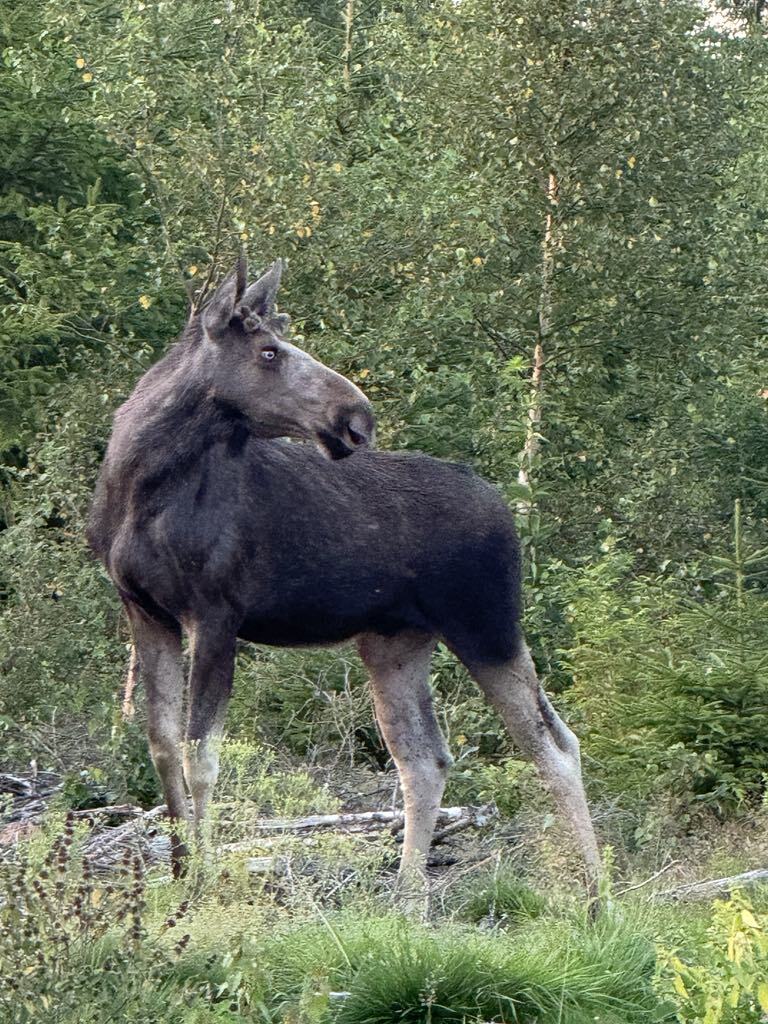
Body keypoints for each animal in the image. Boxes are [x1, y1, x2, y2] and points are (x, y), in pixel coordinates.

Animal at [87, 258, 606, 905]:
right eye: (268, 350)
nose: (357, 418)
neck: (142, 484)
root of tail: (505, 506)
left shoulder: (215, 613)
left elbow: (199, 757)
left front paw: (205, 886)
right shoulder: (145, 610)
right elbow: (161, 747)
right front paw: (182, 873)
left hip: (488, 625)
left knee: (555, 746)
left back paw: (598, 897)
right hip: (394, 643)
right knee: (425, 759)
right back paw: (405, 899)